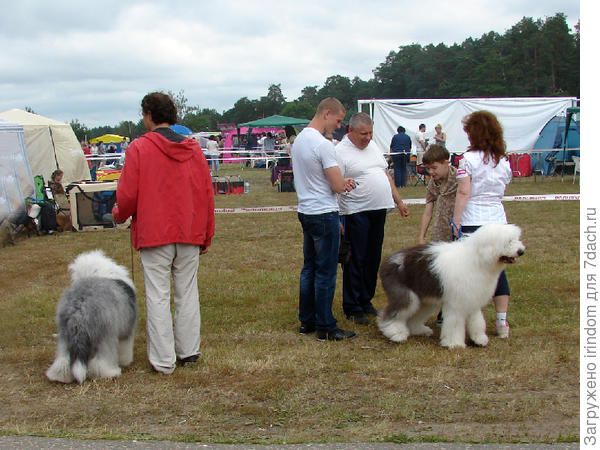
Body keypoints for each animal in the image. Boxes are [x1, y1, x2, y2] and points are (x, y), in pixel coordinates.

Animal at [45, 250, 137, 384]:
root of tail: (79, 307)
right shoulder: (127, 330)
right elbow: (125, 347)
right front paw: (126, 361)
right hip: (105, 333)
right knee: (101, 360)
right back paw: (109, 373)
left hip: (65, 333)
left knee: (63, 359)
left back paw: (60, 376)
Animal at [380, 224, 524, 348]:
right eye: (508, 241)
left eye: (516, 239)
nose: (521, 251)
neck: (478, 260)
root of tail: (390, 259)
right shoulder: (456, 304)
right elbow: (455, 324)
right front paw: (454, 344)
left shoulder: (472, 299)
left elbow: (477, 321)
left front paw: (479, 339)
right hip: (406, 295)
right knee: (392, 313)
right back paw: (396, 333)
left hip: (425, 299)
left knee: (415, 316)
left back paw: (419, 330)